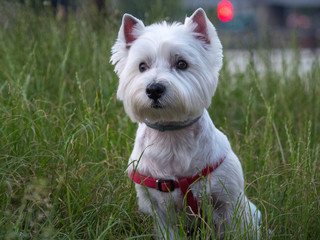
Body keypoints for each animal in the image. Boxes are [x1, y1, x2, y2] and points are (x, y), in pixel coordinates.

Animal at [111, 7, 262, 240]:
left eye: (181, 63)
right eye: (142, 66)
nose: (154, 89)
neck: (171, 136)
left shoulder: (228, 202)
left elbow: (235, 229)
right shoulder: (159, 210)